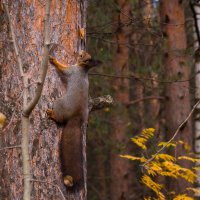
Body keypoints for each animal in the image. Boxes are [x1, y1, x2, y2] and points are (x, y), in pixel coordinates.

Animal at [46, 50, 100, 188]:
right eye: (85, 54)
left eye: (82, 56)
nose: (81, 51)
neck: (83, 69)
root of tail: (76, 117)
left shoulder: (71, 71)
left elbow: (63, 68)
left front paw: (54, 60)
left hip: (59, 103)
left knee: (59, 119)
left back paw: (52, 114)